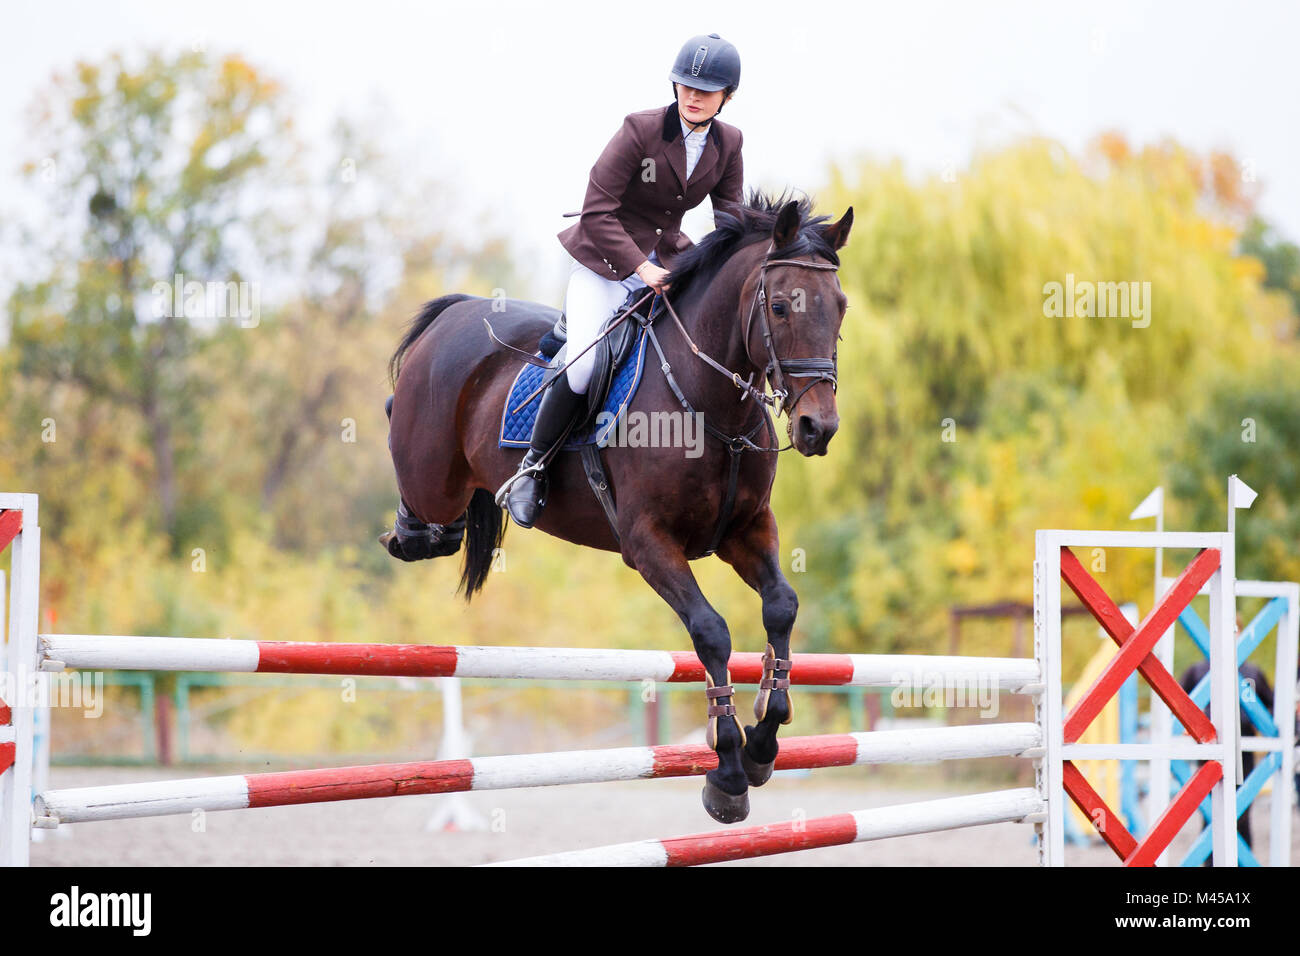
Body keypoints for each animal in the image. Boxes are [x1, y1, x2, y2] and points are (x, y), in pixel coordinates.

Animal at [382, 192, 852, 822]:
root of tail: (457, 312)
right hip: (431, 476)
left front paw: (763, 746)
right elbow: (712, 632)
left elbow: (782, 606)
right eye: (779, 306)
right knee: (414, 483)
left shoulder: (746, 530)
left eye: (840, 307)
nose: (817, 428)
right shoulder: (648, 542)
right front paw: (728, 774)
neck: (709, 404)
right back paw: (414, 529)